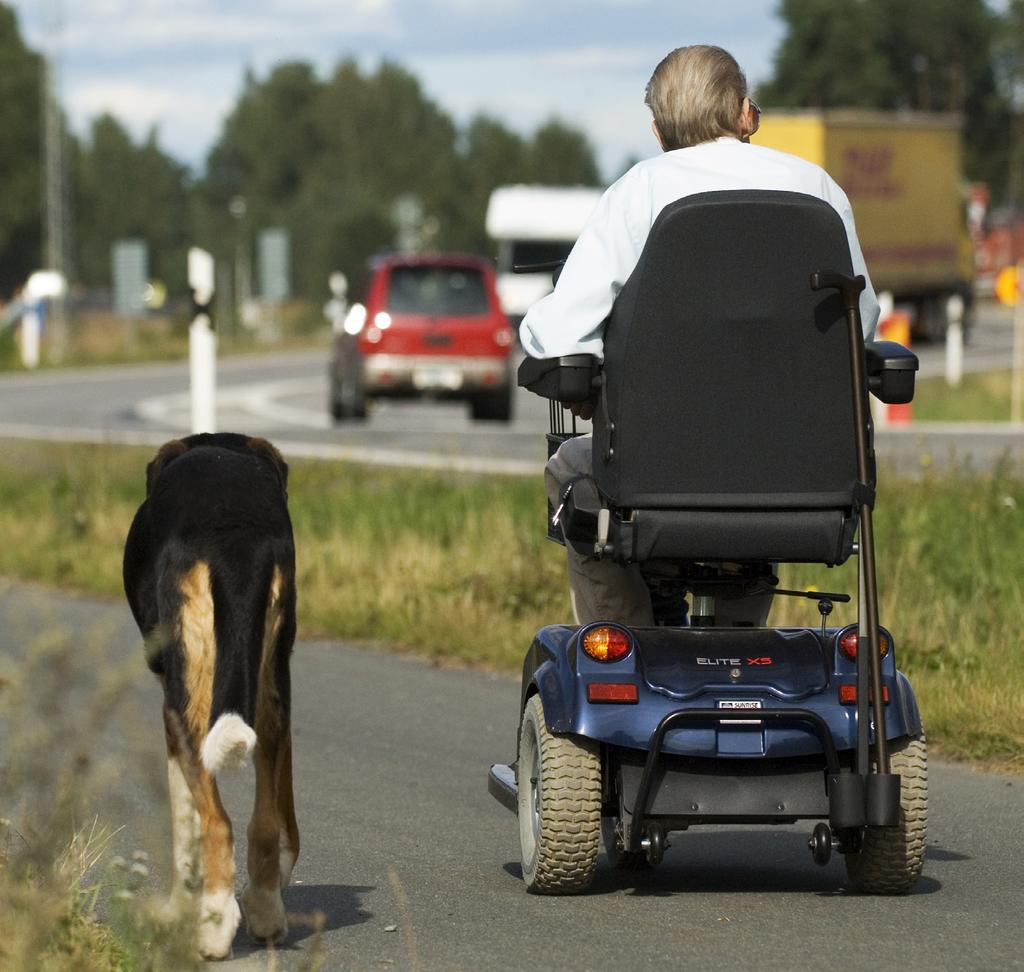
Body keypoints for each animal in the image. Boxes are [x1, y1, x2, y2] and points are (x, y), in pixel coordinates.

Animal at [123, 434, 299, 962]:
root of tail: (231, 534)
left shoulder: (171, 711)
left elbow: (187, 824)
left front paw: (179, 908)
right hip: (270, 693)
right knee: (264, 824)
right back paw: (265, 910)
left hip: (188, 704)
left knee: (219, 823)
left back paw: (215, 926)